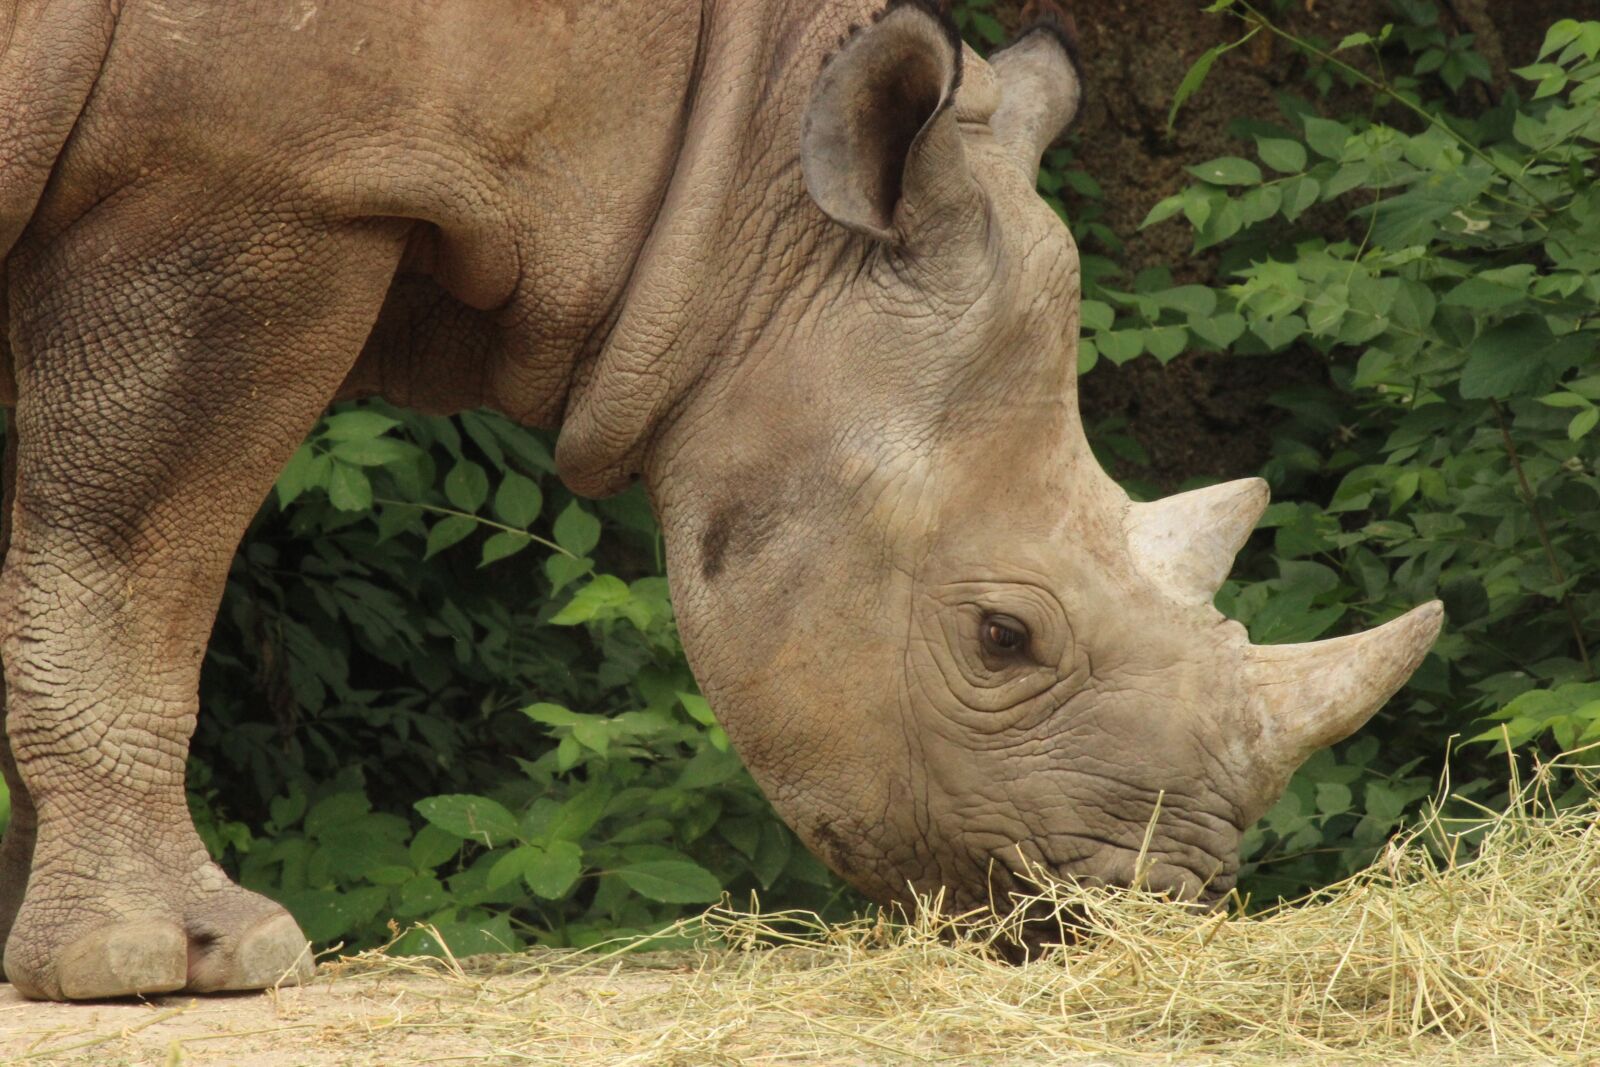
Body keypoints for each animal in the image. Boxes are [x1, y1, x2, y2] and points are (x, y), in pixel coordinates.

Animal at [0, 0, 1441, 1000]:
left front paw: (52, 957)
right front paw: (173, 955)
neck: (734, 181)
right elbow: (128, 559)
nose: (1156, 907)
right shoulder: (257, 181)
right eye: (1002, 637)